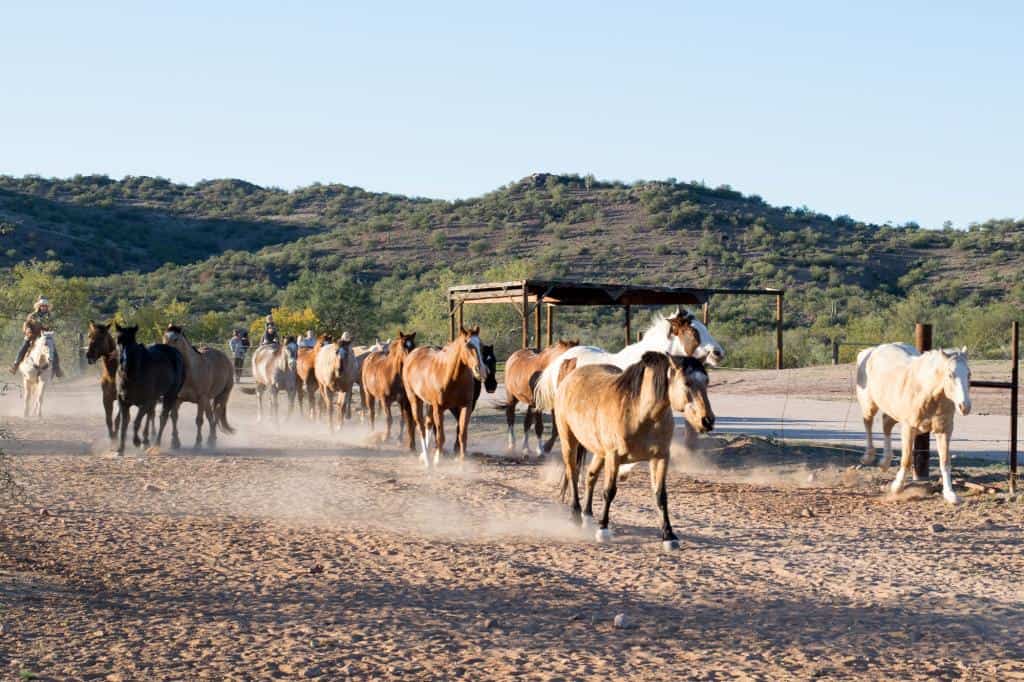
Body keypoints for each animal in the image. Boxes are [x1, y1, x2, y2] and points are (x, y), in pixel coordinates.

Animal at [113, 323, 185, 454]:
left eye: (132, 343)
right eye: (118, 341)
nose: (124, 363)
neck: (132, 374)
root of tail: (175, 352)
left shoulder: (145, 401)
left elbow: (136, 422)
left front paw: (137, 441)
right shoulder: (123, 402)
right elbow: (124, 424)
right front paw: (120, 448)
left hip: (170, 395)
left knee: (163, 417)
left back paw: (156, 443)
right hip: (156, 398)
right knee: (152, 415)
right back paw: (148, 441)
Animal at [401, 325, 489, 466]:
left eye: (481, 345)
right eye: (467, 344)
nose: (481, 370)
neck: (452, 377)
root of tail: (412, 355)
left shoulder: (466, 407)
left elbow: (462, 435)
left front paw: (462, 463)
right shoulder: (439, 408)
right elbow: (441, 436)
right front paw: (437, 459)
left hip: (429, 404)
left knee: (428, 423)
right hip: (415, 399)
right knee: (420, 426)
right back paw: (427, 461)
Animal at [557, 350, 716, 548]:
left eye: (706, 381)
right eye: (687, 383)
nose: (707, 421)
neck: (639, 413)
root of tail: (570, 377)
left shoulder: (660, 458)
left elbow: (660, 495)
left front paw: (669, 536)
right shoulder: (614, 457)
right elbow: (609, 491)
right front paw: (603, 530)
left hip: (600, 452)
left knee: (590, 476)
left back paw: (587, 517)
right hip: (569, 442)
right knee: (572, 473)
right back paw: (576, 515)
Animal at [851, 342, 970, 501]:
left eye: (969, 374)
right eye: (951, 374)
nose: (965, 407)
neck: (927, 392)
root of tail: (871, 351)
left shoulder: (944, 430)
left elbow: (945, 462)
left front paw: (950, 494)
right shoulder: (908, 428)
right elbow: (906, 459)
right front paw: (897, 487)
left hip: (893, 411)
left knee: (886, 424)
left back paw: (884, 463)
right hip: (869, 405)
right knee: (868, 423)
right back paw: (868, 457)